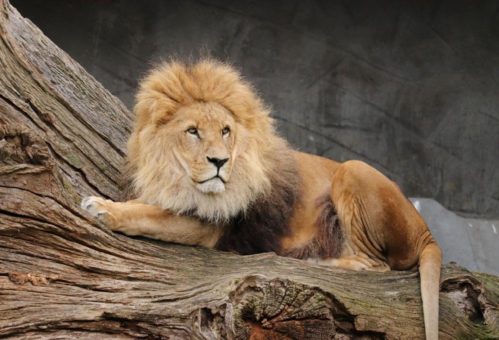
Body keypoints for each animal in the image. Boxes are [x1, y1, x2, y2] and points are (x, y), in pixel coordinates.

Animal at [80, 59, 444, 338]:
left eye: (225, 130)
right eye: (193, 131)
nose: (219, 161)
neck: (175, 176)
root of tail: (427, 232)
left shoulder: (208, 226)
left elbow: (147, 216)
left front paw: (102, 208)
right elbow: (146, 207)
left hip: (352, 169)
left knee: (378, 266)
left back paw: (320, 261)